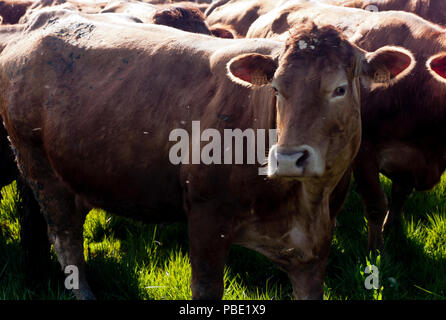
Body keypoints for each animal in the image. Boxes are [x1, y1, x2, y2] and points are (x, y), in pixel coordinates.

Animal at [247, 0, 446, 250]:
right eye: (275, 87)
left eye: (340, 89)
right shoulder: (364, 153)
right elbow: (376, 204)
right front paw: (376, 250)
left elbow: (400, 195)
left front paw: (392, 228)